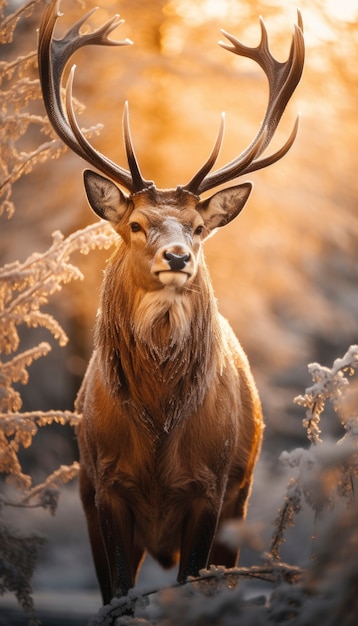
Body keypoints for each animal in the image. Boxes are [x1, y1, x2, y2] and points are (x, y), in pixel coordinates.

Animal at [37, 0, 304, 604]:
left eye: (200, 228)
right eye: (136, 224)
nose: (179, 257)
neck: (158, 430)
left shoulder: (211, 486)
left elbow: (193, 583)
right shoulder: (105, 485)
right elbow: (117, 595)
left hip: (241, 498)